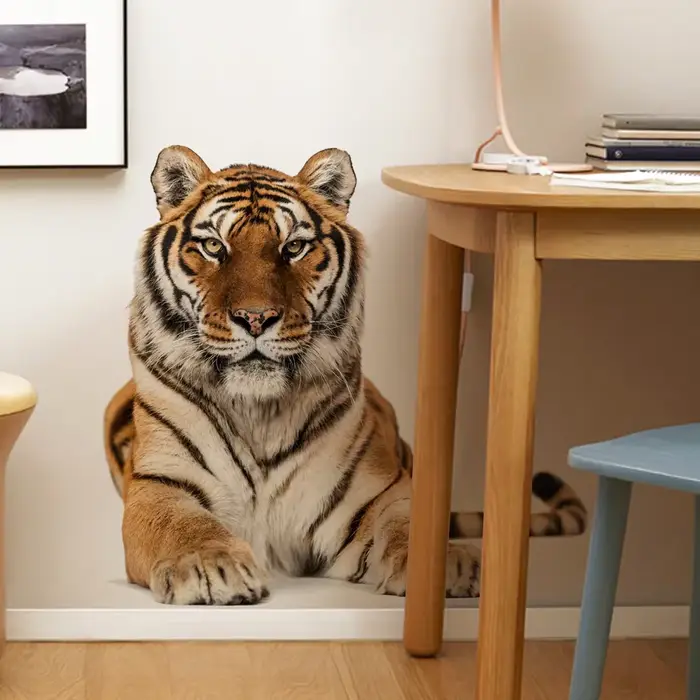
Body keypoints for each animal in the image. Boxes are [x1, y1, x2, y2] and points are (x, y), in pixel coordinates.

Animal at [103, 145, 587, 606]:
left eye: (293, 248)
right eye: (213, 247)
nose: (256, 318)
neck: (259, 413)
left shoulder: (376, 491)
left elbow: (410, 523)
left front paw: (444, 565)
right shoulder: (160, 483)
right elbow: (180, 524)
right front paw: (209, 566)